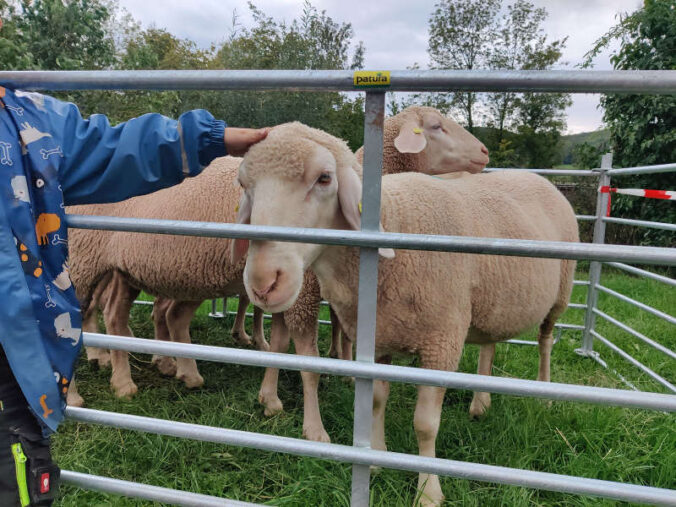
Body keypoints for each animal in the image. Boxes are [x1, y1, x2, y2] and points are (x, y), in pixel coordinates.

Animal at [235, 122, 580, 504]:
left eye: (324, 178)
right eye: (244, 185)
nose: (263, 282)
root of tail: (539, 178)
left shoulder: (442, 343)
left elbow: (425, 424)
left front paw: (428, 491)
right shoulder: (378, 338)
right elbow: (376, 401)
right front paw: (375, 459)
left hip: (561, 292)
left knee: (546, 341)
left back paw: (545, 394)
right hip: (492, 299)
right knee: (490, 344)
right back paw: (480, 403)